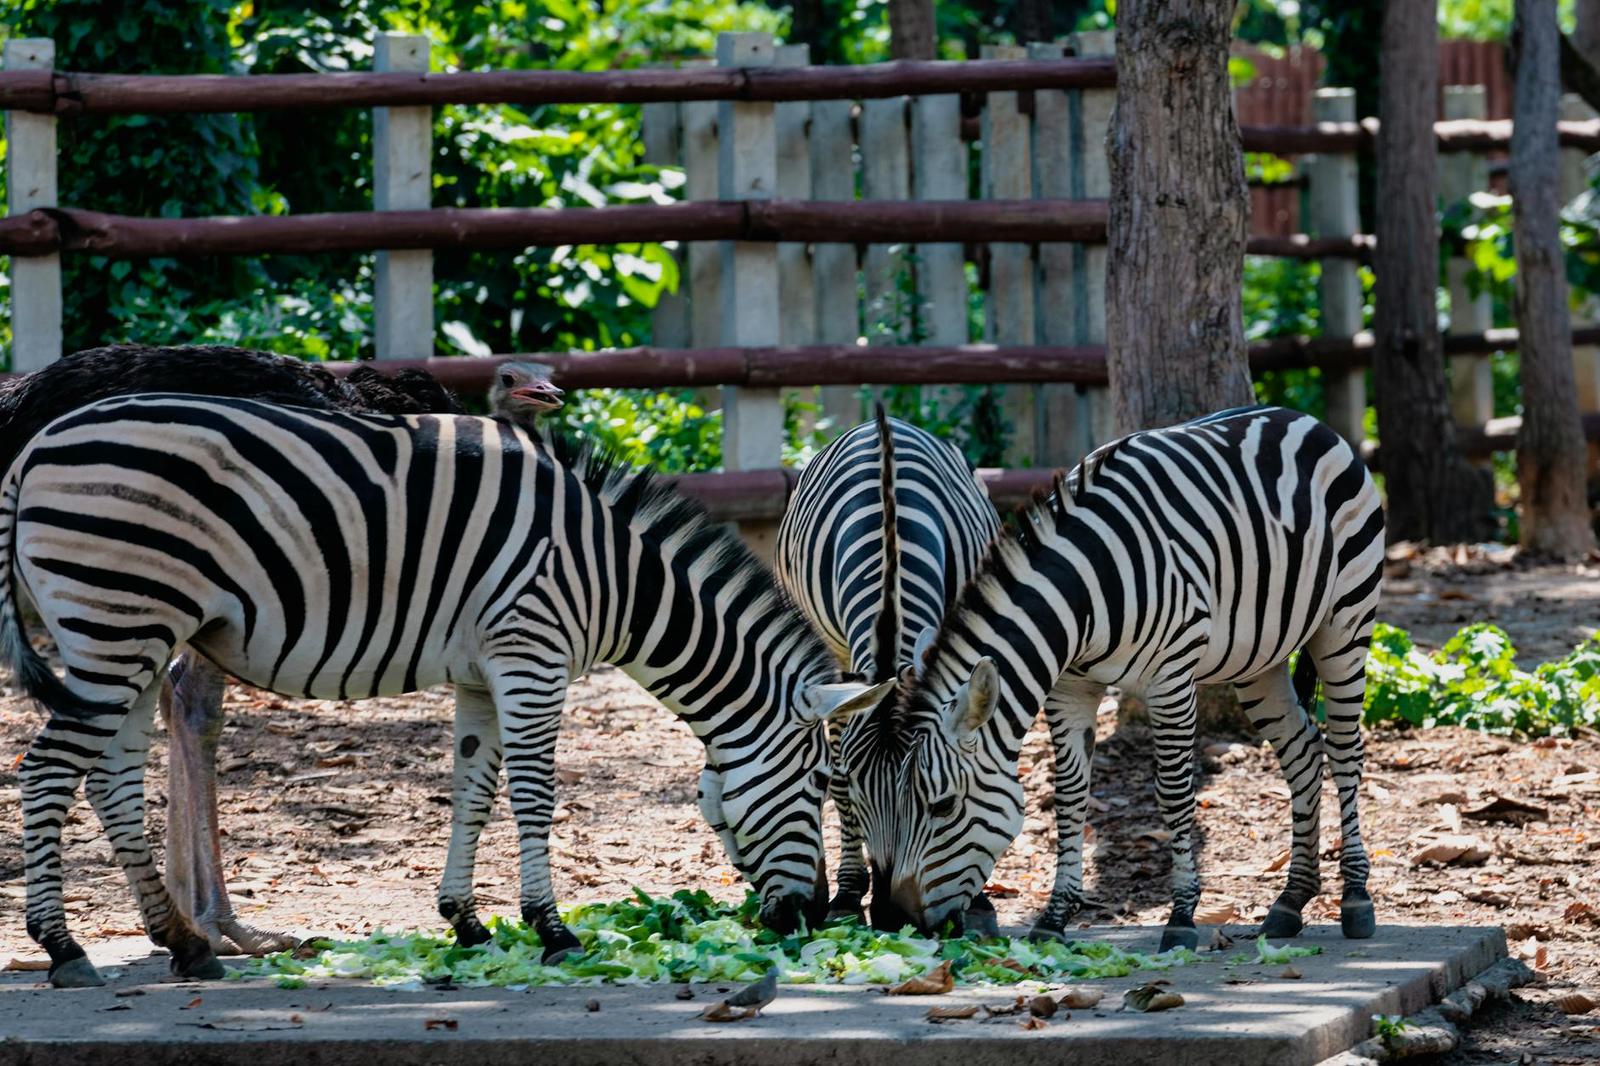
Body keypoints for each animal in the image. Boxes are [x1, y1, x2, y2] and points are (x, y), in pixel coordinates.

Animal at [4, 394, 890, 988]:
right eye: (820, 782)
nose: (809, 916)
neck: (614, 578)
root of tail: (35, 444)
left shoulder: (481, 673)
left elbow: (472, 789)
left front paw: (465, 923)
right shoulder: (532, 655)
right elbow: (531, 794)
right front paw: (553, 931)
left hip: (126, 635)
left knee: (110, 783)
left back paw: (184, 944)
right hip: (120, 621)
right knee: (46, 772)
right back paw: (65, 949)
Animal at [775, 406, 1000, 928]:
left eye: (922, 796)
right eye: (860, 795)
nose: (889, 915)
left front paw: (976, 896)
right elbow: (837, 771)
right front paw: (847, 893)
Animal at [841, 406, 1384, 951]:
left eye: (944, 805)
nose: (892, 918)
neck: (1081, 594)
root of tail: (1299, 418)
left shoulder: (1171, 677)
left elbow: (1174, 794)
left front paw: (1181, 916)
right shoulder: (1070, 689)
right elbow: (1069, 797)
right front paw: (1055, 916)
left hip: (1345, 622)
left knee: (1344, 751)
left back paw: (1355, 898)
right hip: (1259, 660)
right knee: (1302, 751)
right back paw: (1291, 900)